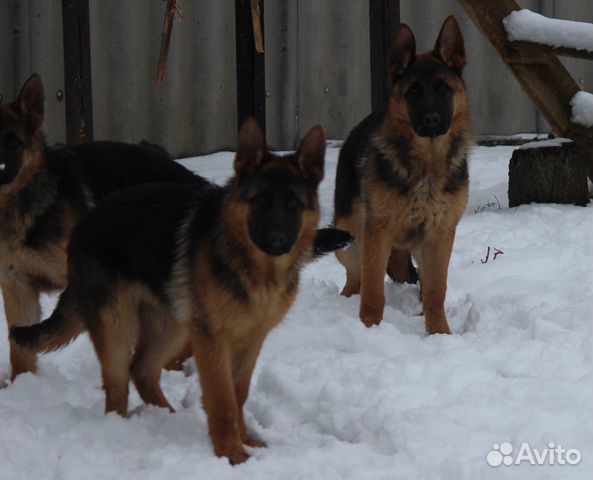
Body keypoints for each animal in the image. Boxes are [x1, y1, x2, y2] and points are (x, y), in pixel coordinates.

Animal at [13, 117, 326, 464]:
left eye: (294, 205)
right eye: (260, 201)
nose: (277, 241)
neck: (253, 267)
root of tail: (85, 223)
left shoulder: (251, 339)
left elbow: (239, 393)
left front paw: (246, 441)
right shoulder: (212, 340)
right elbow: (223, 400)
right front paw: (231, 454)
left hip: (171, 326)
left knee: (142, 370)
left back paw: (167, 417)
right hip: (119, 328)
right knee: (117, 387)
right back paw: (122, 430)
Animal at [332, 17, 472, 334]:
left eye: (444, 89)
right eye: (414, 93)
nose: (431, 121)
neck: (427, 164)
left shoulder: (440, 236)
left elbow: (436, 290)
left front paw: (439, 333)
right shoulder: (377, 232)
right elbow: (373, 289)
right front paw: (370, 328)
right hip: (349, 236)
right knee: (355, 277)